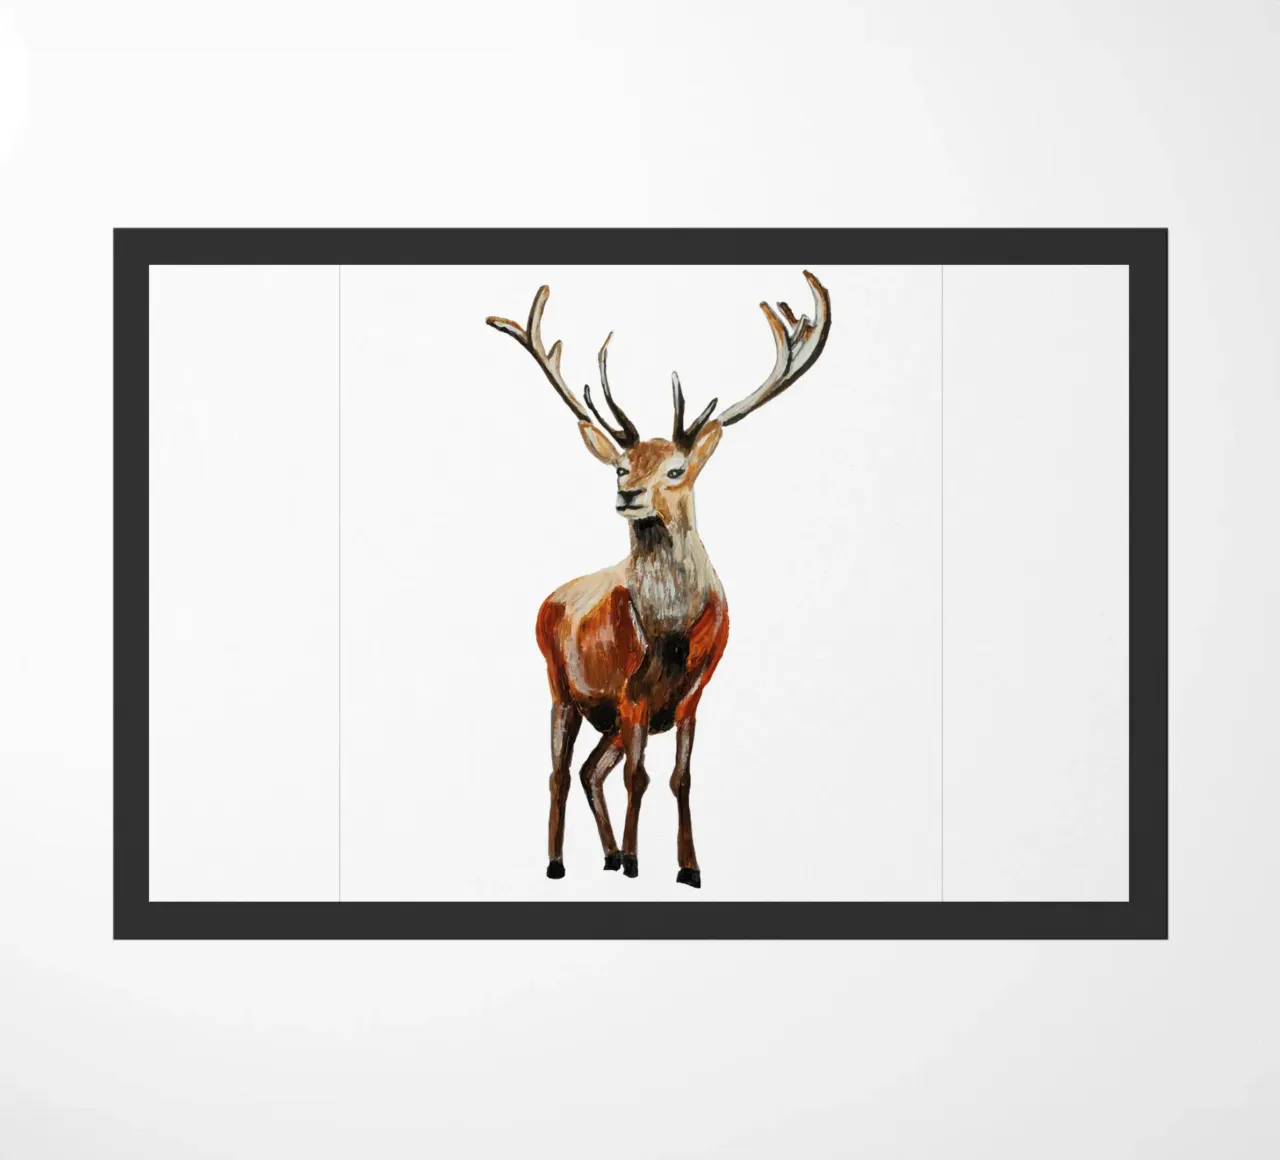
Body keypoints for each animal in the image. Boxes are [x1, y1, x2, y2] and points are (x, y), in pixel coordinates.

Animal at [486, 271, 831, 888]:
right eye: (622, 467)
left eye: (676, 469)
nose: (628, 494)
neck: (670, 633)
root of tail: (549, 599)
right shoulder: (630, 694)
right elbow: (638, 778)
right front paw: (634, 862)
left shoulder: (693, 696)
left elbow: (679, 778)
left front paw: (688, 867)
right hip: (561, 685)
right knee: (560, 771)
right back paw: (558, 862)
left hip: (604, 716)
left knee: (590, 770)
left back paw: (602, 854)